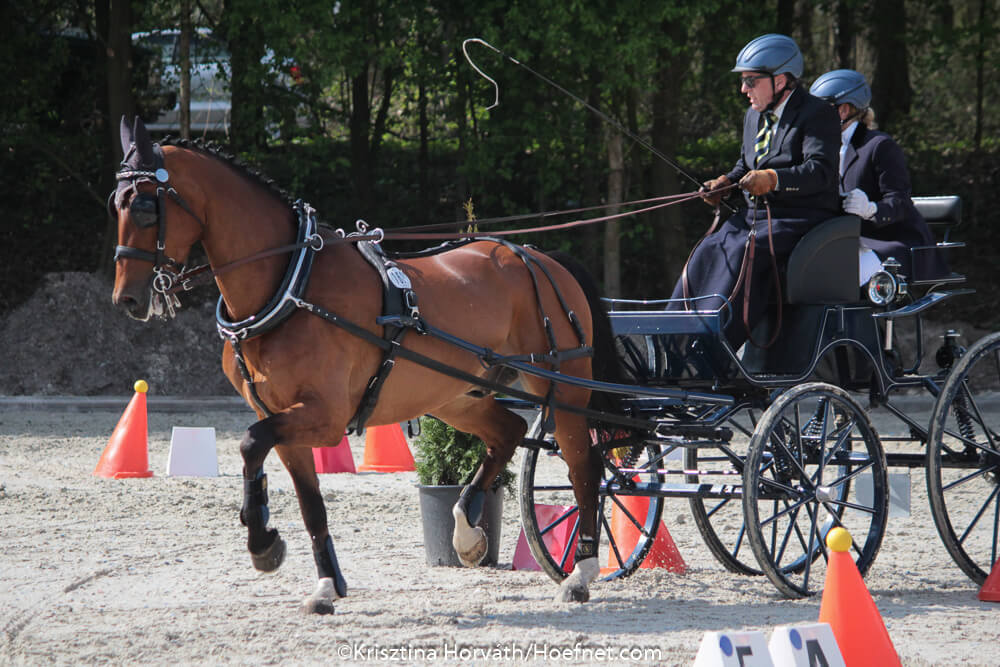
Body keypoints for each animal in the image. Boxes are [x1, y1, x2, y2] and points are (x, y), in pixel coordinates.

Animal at [109, 116, 619, 613]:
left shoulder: (325, 417)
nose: (127, 299)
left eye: (145, 208)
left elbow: (250, 444)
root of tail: (540, 258)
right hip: (456, 396)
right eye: (115, 205)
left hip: (563, 389)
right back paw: (467, 532)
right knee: (508, 432)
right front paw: (325, 584)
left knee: (585, 468)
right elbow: (308, 502)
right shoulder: (281, 419)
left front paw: (263, 544)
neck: (291, 286)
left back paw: (581, 571)